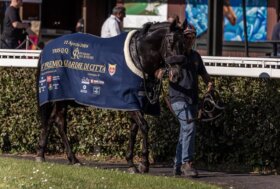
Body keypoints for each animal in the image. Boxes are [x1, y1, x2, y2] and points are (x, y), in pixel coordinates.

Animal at [35, 21, 186, 173]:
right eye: (171, 42)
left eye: (183, 43)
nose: (177, 75)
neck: (137, 55)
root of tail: (47, 47)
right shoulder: (130, 101)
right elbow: (144, 126)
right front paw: (144, 163)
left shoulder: (138, 101)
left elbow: (134, 129)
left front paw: (131, 163)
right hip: (59, 93)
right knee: (58, 122)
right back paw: (68, 158)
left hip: (63, 98)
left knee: (53, 120)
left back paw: (47, 155)